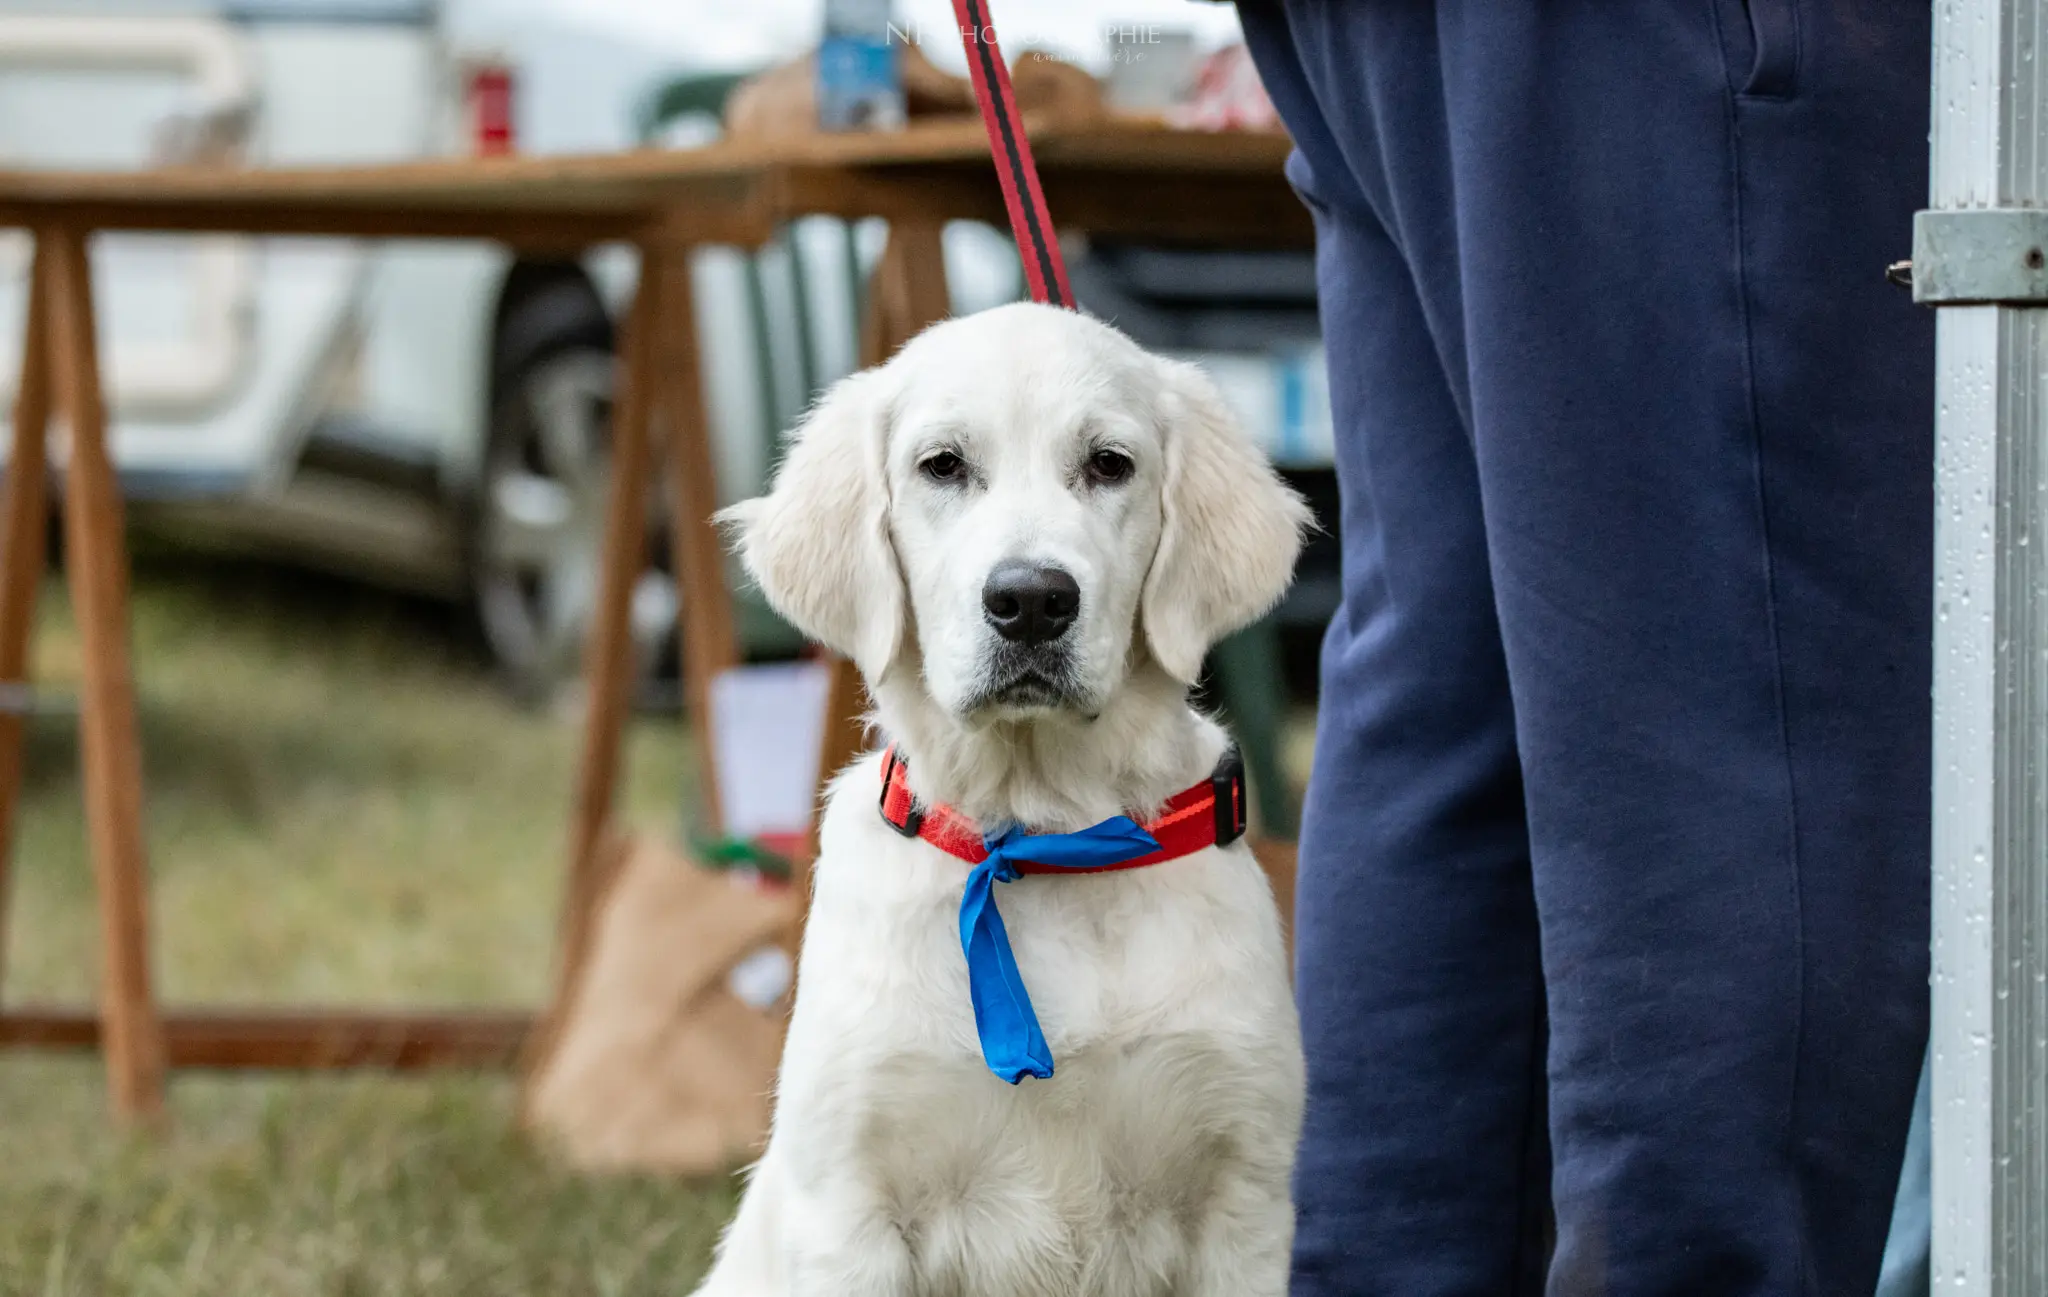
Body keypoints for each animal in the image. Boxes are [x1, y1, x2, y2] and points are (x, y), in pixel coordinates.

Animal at [696, 303, 1302, 1294]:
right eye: (942, 464)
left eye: (1109, 463)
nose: (1031, 600)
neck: (1043, 831)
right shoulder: (850, 1205)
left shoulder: (1241, 1199)